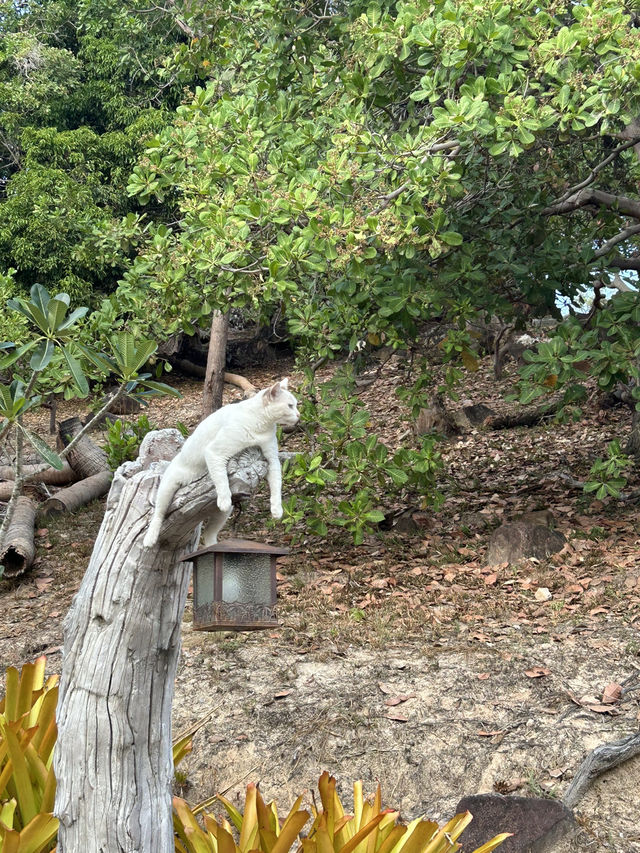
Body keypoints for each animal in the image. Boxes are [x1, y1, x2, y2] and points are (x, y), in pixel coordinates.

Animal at [144, 378, 298, 548]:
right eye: (290, 406)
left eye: (296, 405)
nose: (299, 414)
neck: (261, 425)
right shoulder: (214, 453)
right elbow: (222, 479)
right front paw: (223, 499)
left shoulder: (272, 460)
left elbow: (276, 486)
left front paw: (277, 510)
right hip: (167, 488)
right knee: (158, 514)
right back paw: (150, 539)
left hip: (223, 514)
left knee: (209, 534)